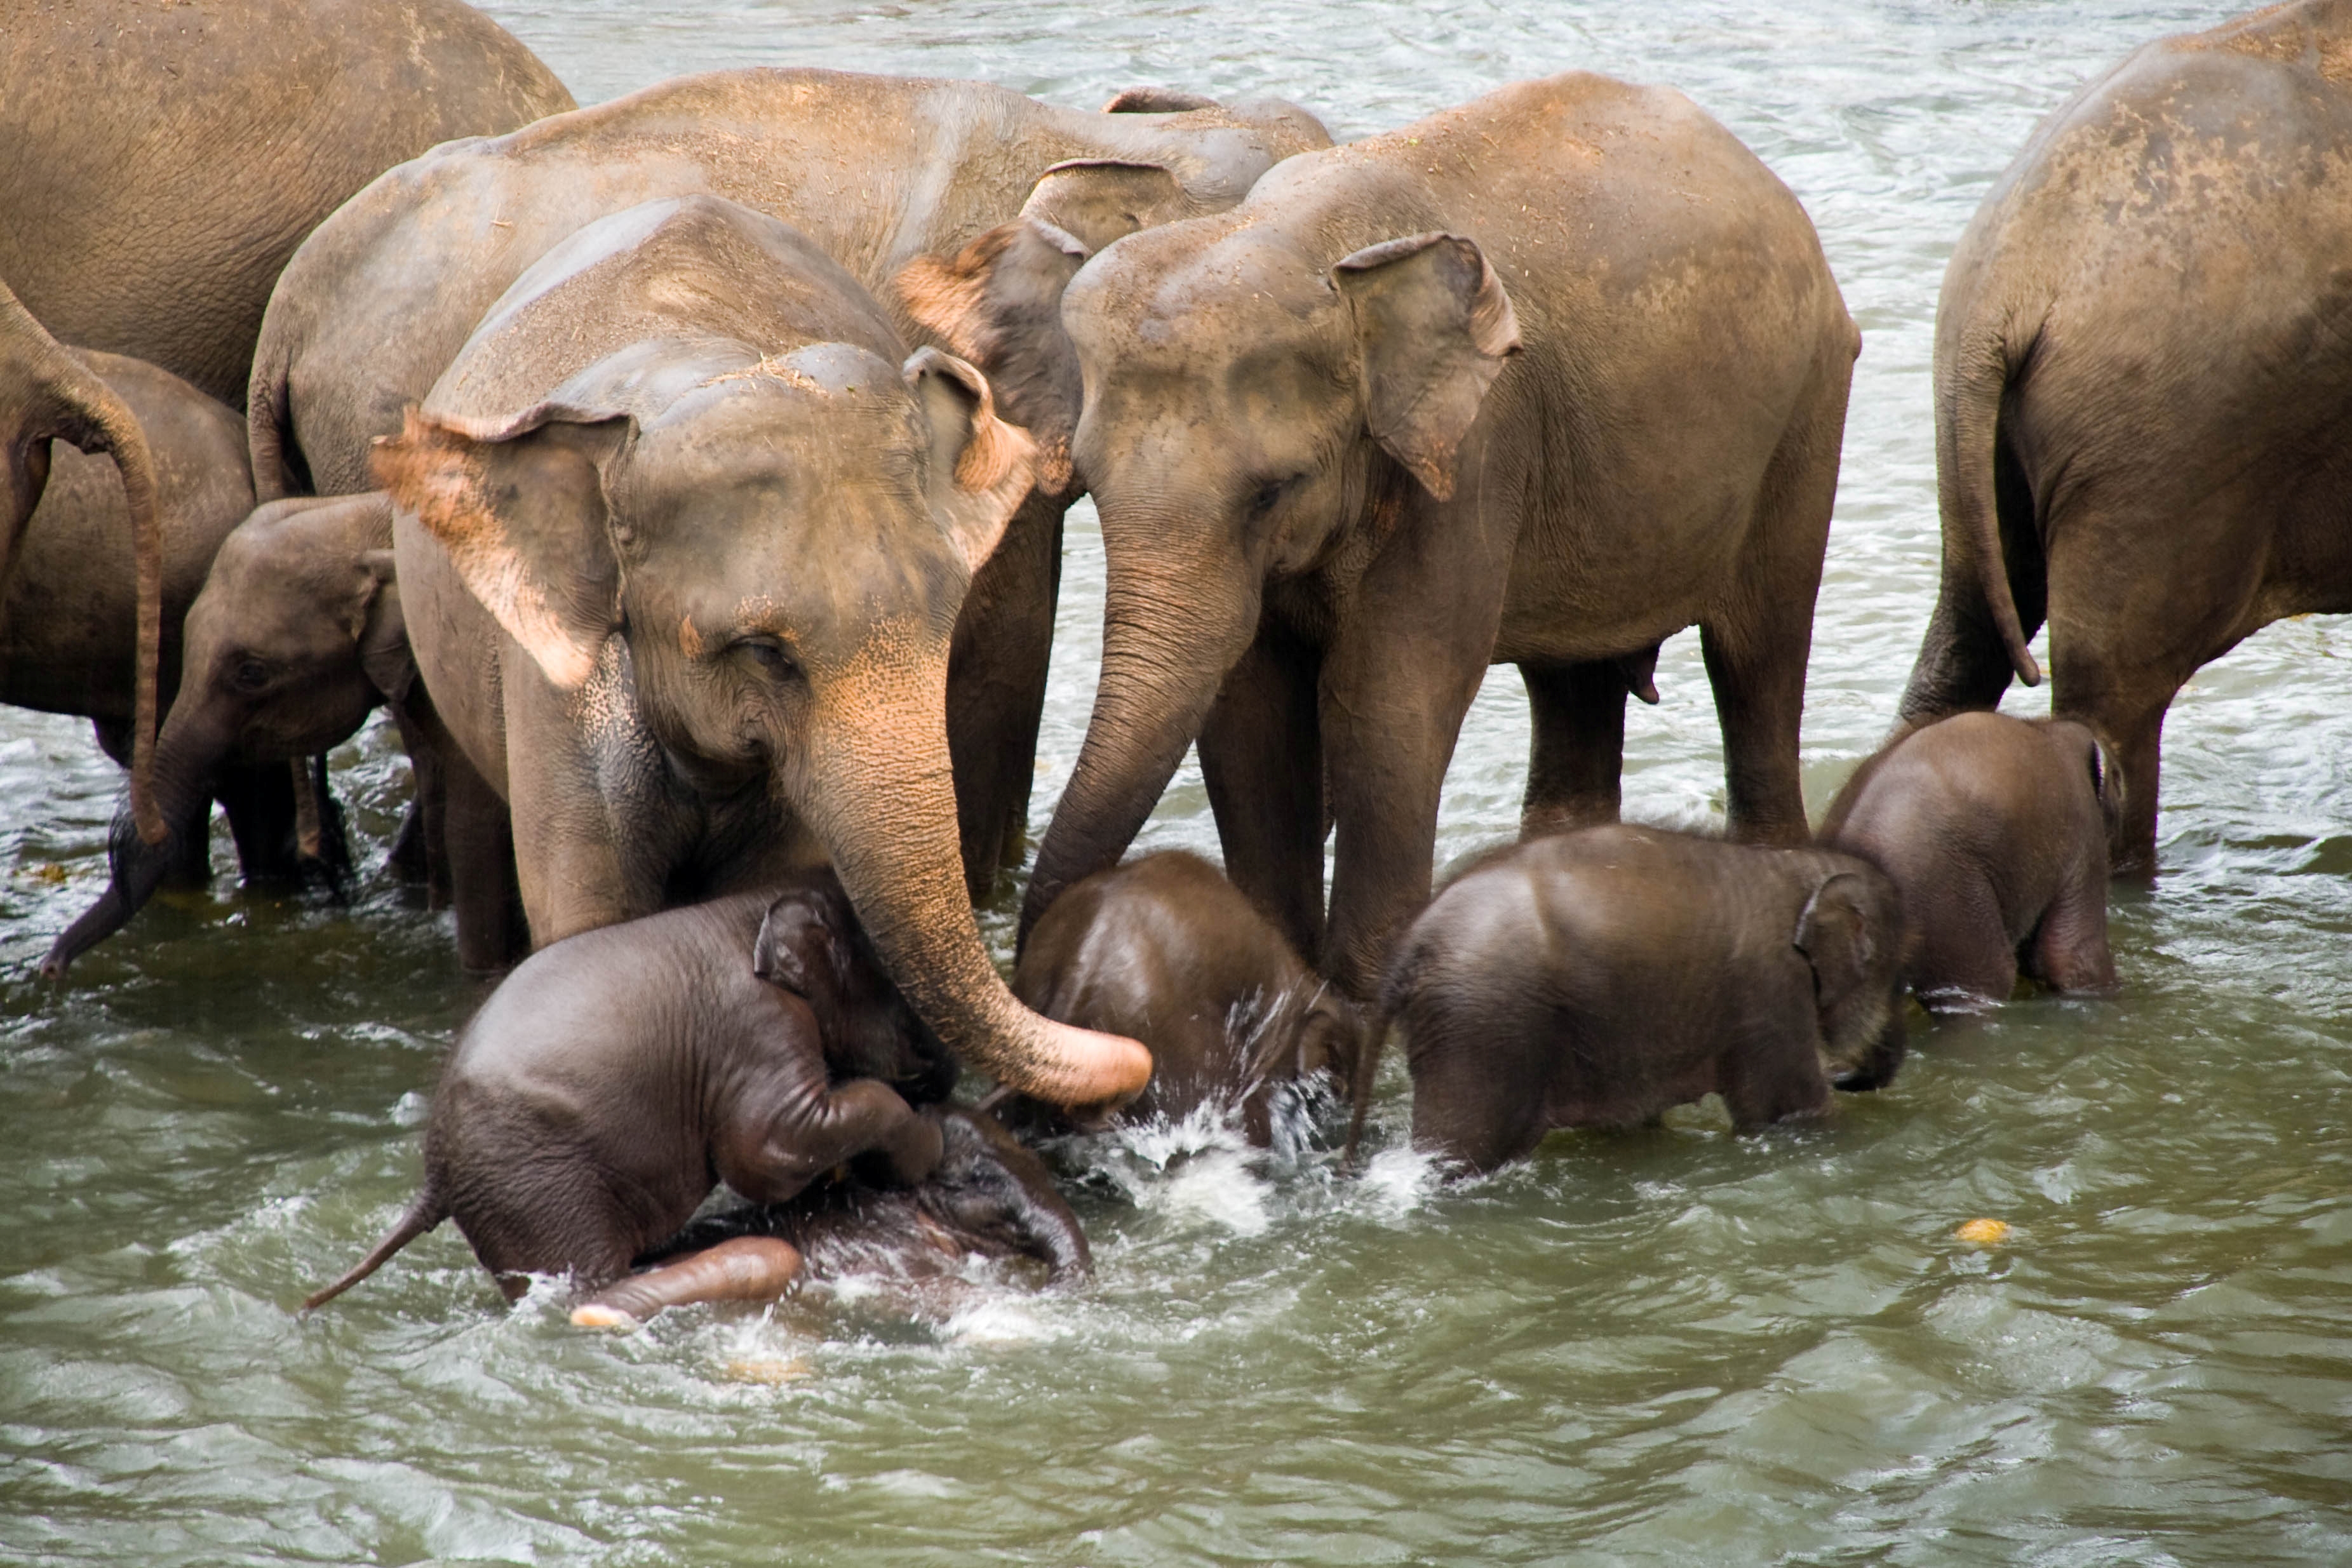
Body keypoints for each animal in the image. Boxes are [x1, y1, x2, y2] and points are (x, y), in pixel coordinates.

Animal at [302, 876, 965, 1322]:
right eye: (895, 986)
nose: (946, 1074)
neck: (758, 906)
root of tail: (434, 1172)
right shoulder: (759, 1023)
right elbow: (764, 1152)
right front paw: (925, 1145)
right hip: (536, 1185)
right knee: (587, 1283)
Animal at [371, 194, 1149, 1109]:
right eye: (764, 652)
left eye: (945, 621)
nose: (1132, 1049)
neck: (706, 361)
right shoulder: (562, 697)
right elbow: (587, 918)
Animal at [1018, 72, 1860, 1004]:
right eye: (1088, 484)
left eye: (1274, 491)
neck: (1302, 239)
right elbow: (1250, 707)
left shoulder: (1472, 451)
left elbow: (1388, 696)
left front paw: (1362, 987)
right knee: (1573, 687)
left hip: (1805, 415)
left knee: (1755, 658)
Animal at [1357, 824, 1911, 1175]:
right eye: (1897, 975)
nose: (1844, 1072)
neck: (1799, 866)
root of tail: (1408, 949)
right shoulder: (1772, 994)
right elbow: (1788, 1112)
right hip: (1482, 1028)